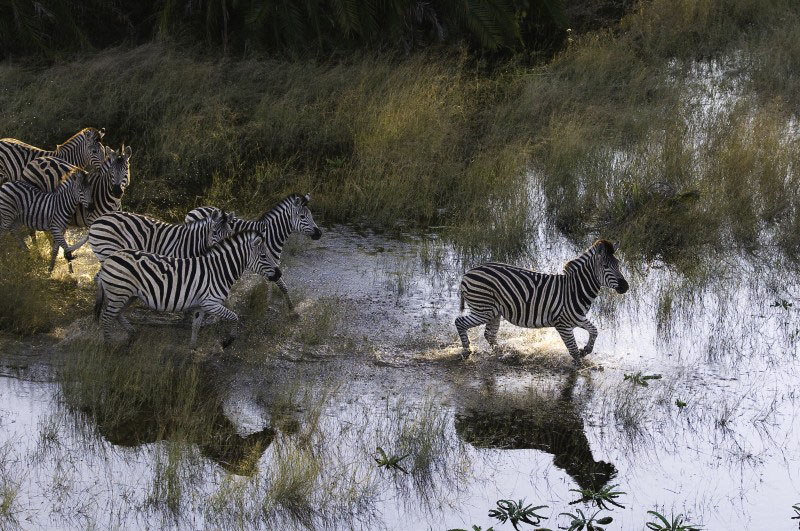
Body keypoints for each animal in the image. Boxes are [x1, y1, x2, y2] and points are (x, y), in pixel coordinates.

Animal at [94, 231, 282, 348]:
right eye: (264, 256)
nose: (279, 273)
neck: (218, 271)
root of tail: (109, 259)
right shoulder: (211, 303)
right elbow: (234, 317)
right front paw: (228, 341)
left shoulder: (201, 305)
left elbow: (196, 326)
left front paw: (192, 349)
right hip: (119, 293)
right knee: (107, 317)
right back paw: (108, 345)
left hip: (128, 295)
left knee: (117, 314)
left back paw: (132, 333)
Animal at [184, 193, 322, 314]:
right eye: (302, 217)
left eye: (311, 215)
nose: (319, 233)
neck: (271, 235)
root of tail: (195, 209)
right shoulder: (267, 262)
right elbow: (282, 286)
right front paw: (291, 309)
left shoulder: (271, 265)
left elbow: (271, 285)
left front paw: (269, 304)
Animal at [456, 242, 632, 364]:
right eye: (605, 266)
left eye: (618, 264)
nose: (625, 286)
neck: (576, 289)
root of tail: (467, 273)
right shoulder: (563, 324)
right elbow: (573, 350)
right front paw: (578, 366)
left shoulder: (577, 318)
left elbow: (594, 331)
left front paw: (586, 350)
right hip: (484, 310)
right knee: (460, 322)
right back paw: (467, 351)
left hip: (493, 312)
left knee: (489, 335)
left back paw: (503, 354)